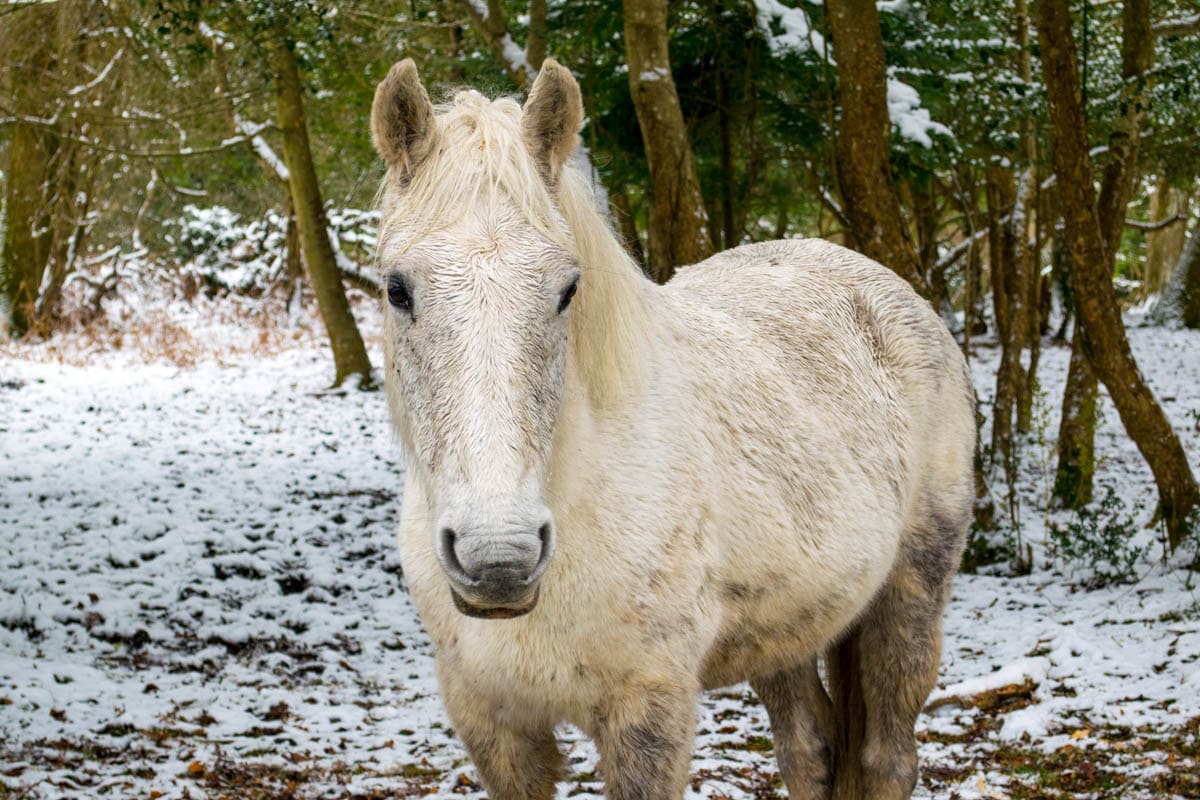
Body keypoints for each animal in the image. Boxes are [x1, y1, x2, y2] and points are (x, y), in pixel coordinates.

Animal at [372, 57, 974, 800]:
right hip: (790, 629)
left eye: (567, 290)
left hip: (909, 599)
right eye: (398, 290)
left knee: (887, 757)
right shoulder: (494, 727)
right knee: (810, 750)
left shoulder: (648, 713)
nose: (499, 558)